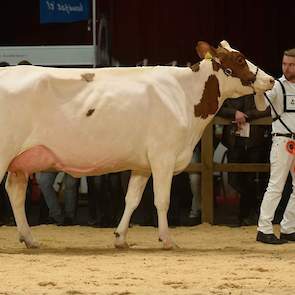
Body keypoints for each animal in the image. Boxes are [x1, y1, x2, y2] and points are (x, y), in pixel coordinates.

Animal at [0, 41, 276, 250]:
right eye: (239, 59)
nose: (271, 79)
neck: (184, 95)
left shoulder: (143, 164)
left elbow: (132, 199)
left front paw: (120, 238)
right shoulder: (163, 156)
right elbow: (162, 200)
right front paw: (167, 240)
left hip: (20, 162)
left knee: (15, 192)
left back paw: (30, 239)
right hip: (5, 152)